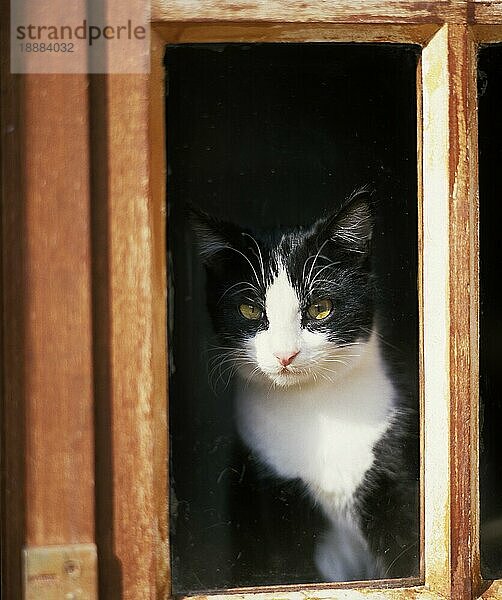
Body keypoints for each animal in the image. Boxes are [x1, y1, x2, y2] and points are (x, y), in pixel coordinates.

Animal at [192, 191, 420, 580]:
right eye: (250, 311)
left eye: (321, 308)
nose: (286, 354)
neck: (315, 408)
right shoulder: (272, 489)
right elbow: (290, 565)